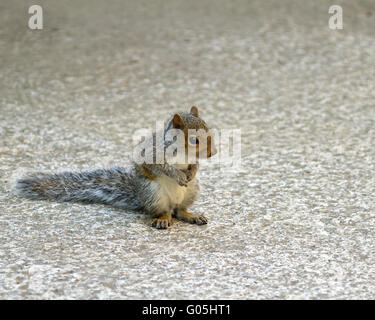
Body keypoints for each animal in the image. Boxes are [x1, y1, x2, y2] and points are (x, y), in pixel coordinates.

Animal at [13, 106, 217, 229]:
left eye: (208, 129)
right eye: (194, 140)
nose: (213, 153)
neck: (182, 151)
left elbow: (195, 164)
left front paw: (192, 171)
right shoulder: (153, 154)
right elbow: (162, 167)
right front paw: (178, 175)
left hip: (191, 191)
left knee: (179, 211)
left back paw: (192, 215)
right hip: (154, 195)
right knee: (166, 212)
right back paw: (163, 219)